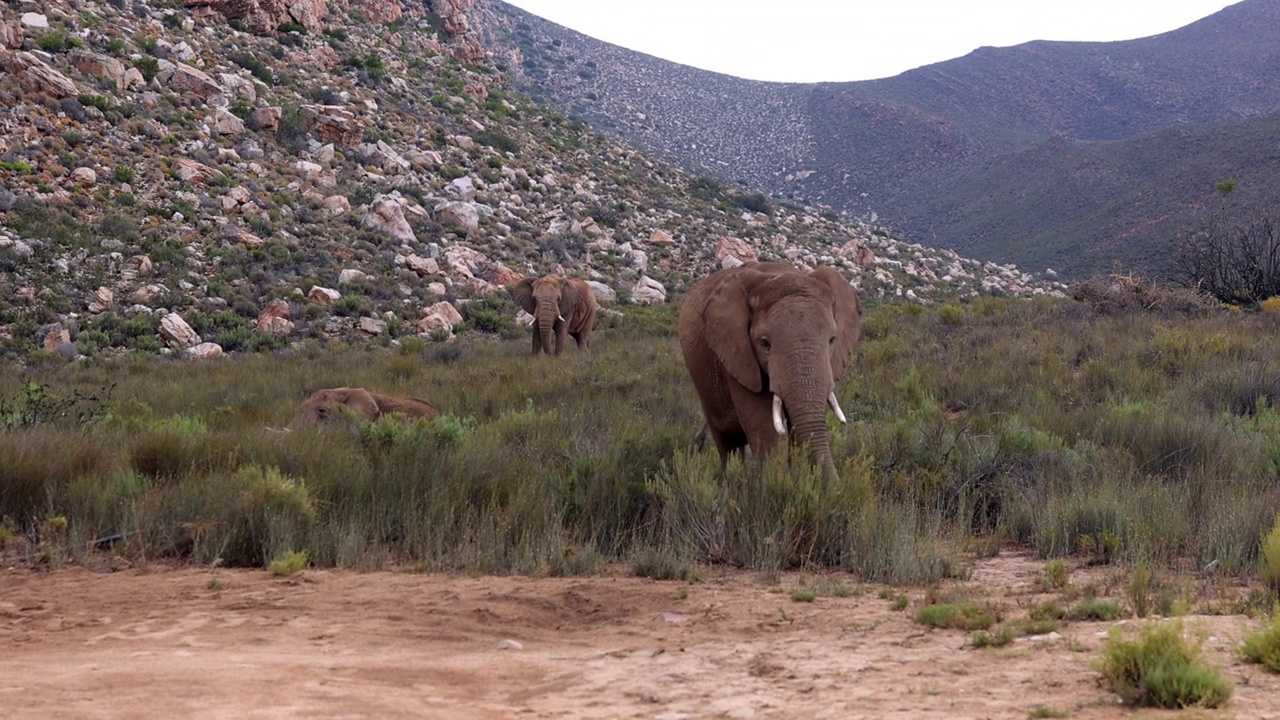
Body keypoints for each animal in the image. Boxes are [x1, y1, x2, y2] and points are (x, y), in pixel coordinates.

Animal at [680, 260, 860, 479]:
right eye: (765, 343)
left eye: (832, 340)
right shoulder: (736, 351)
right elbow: (762, 422)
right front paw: (778, 481)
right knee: (728, 442)